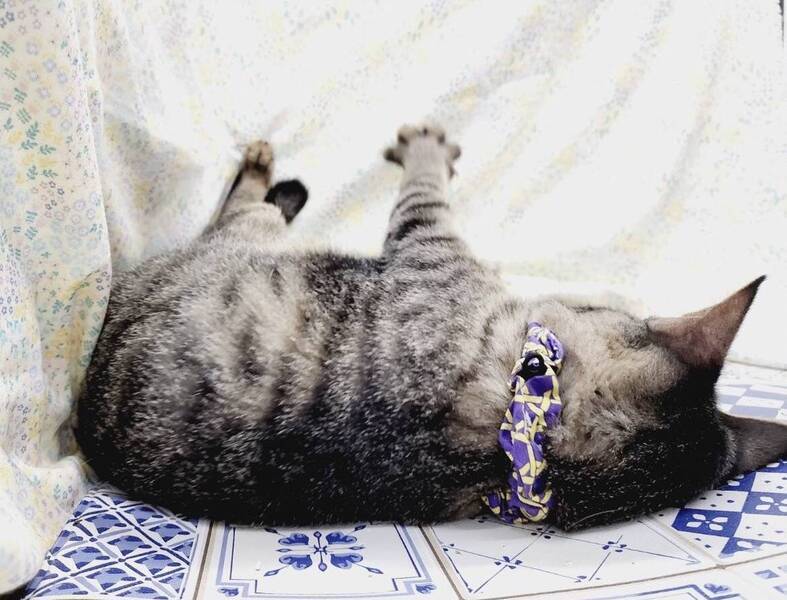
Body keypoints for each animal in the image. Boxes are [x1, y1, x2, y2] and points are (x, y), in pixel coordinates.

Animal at [76, 124, 787, 530]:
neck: (517, 432)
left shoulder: (425, 243)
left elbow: (421, 186)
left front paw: (424, 147)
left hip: (248, 236)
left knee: (245, 208)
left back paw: (262, 166)